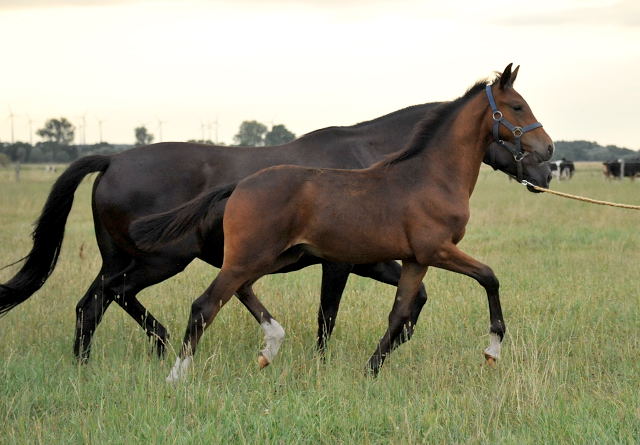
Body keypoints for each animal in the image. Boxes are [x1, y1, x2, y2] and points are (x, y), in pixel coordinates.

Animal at [131, 64, 556, 380]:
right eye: (517, 107)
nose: (548, 153)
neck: (430, 176)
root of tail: (240, 184)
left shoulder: (416, 259)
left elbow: (401, 313)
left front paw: (371, 370)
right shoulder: (437, 249)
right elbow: (489, 277)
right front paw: (492, 349)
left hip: (272, 257)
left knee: (240, 290)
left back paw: (270, 345)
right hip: (250, 256)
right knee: (205, 304)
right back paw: (177, 376)